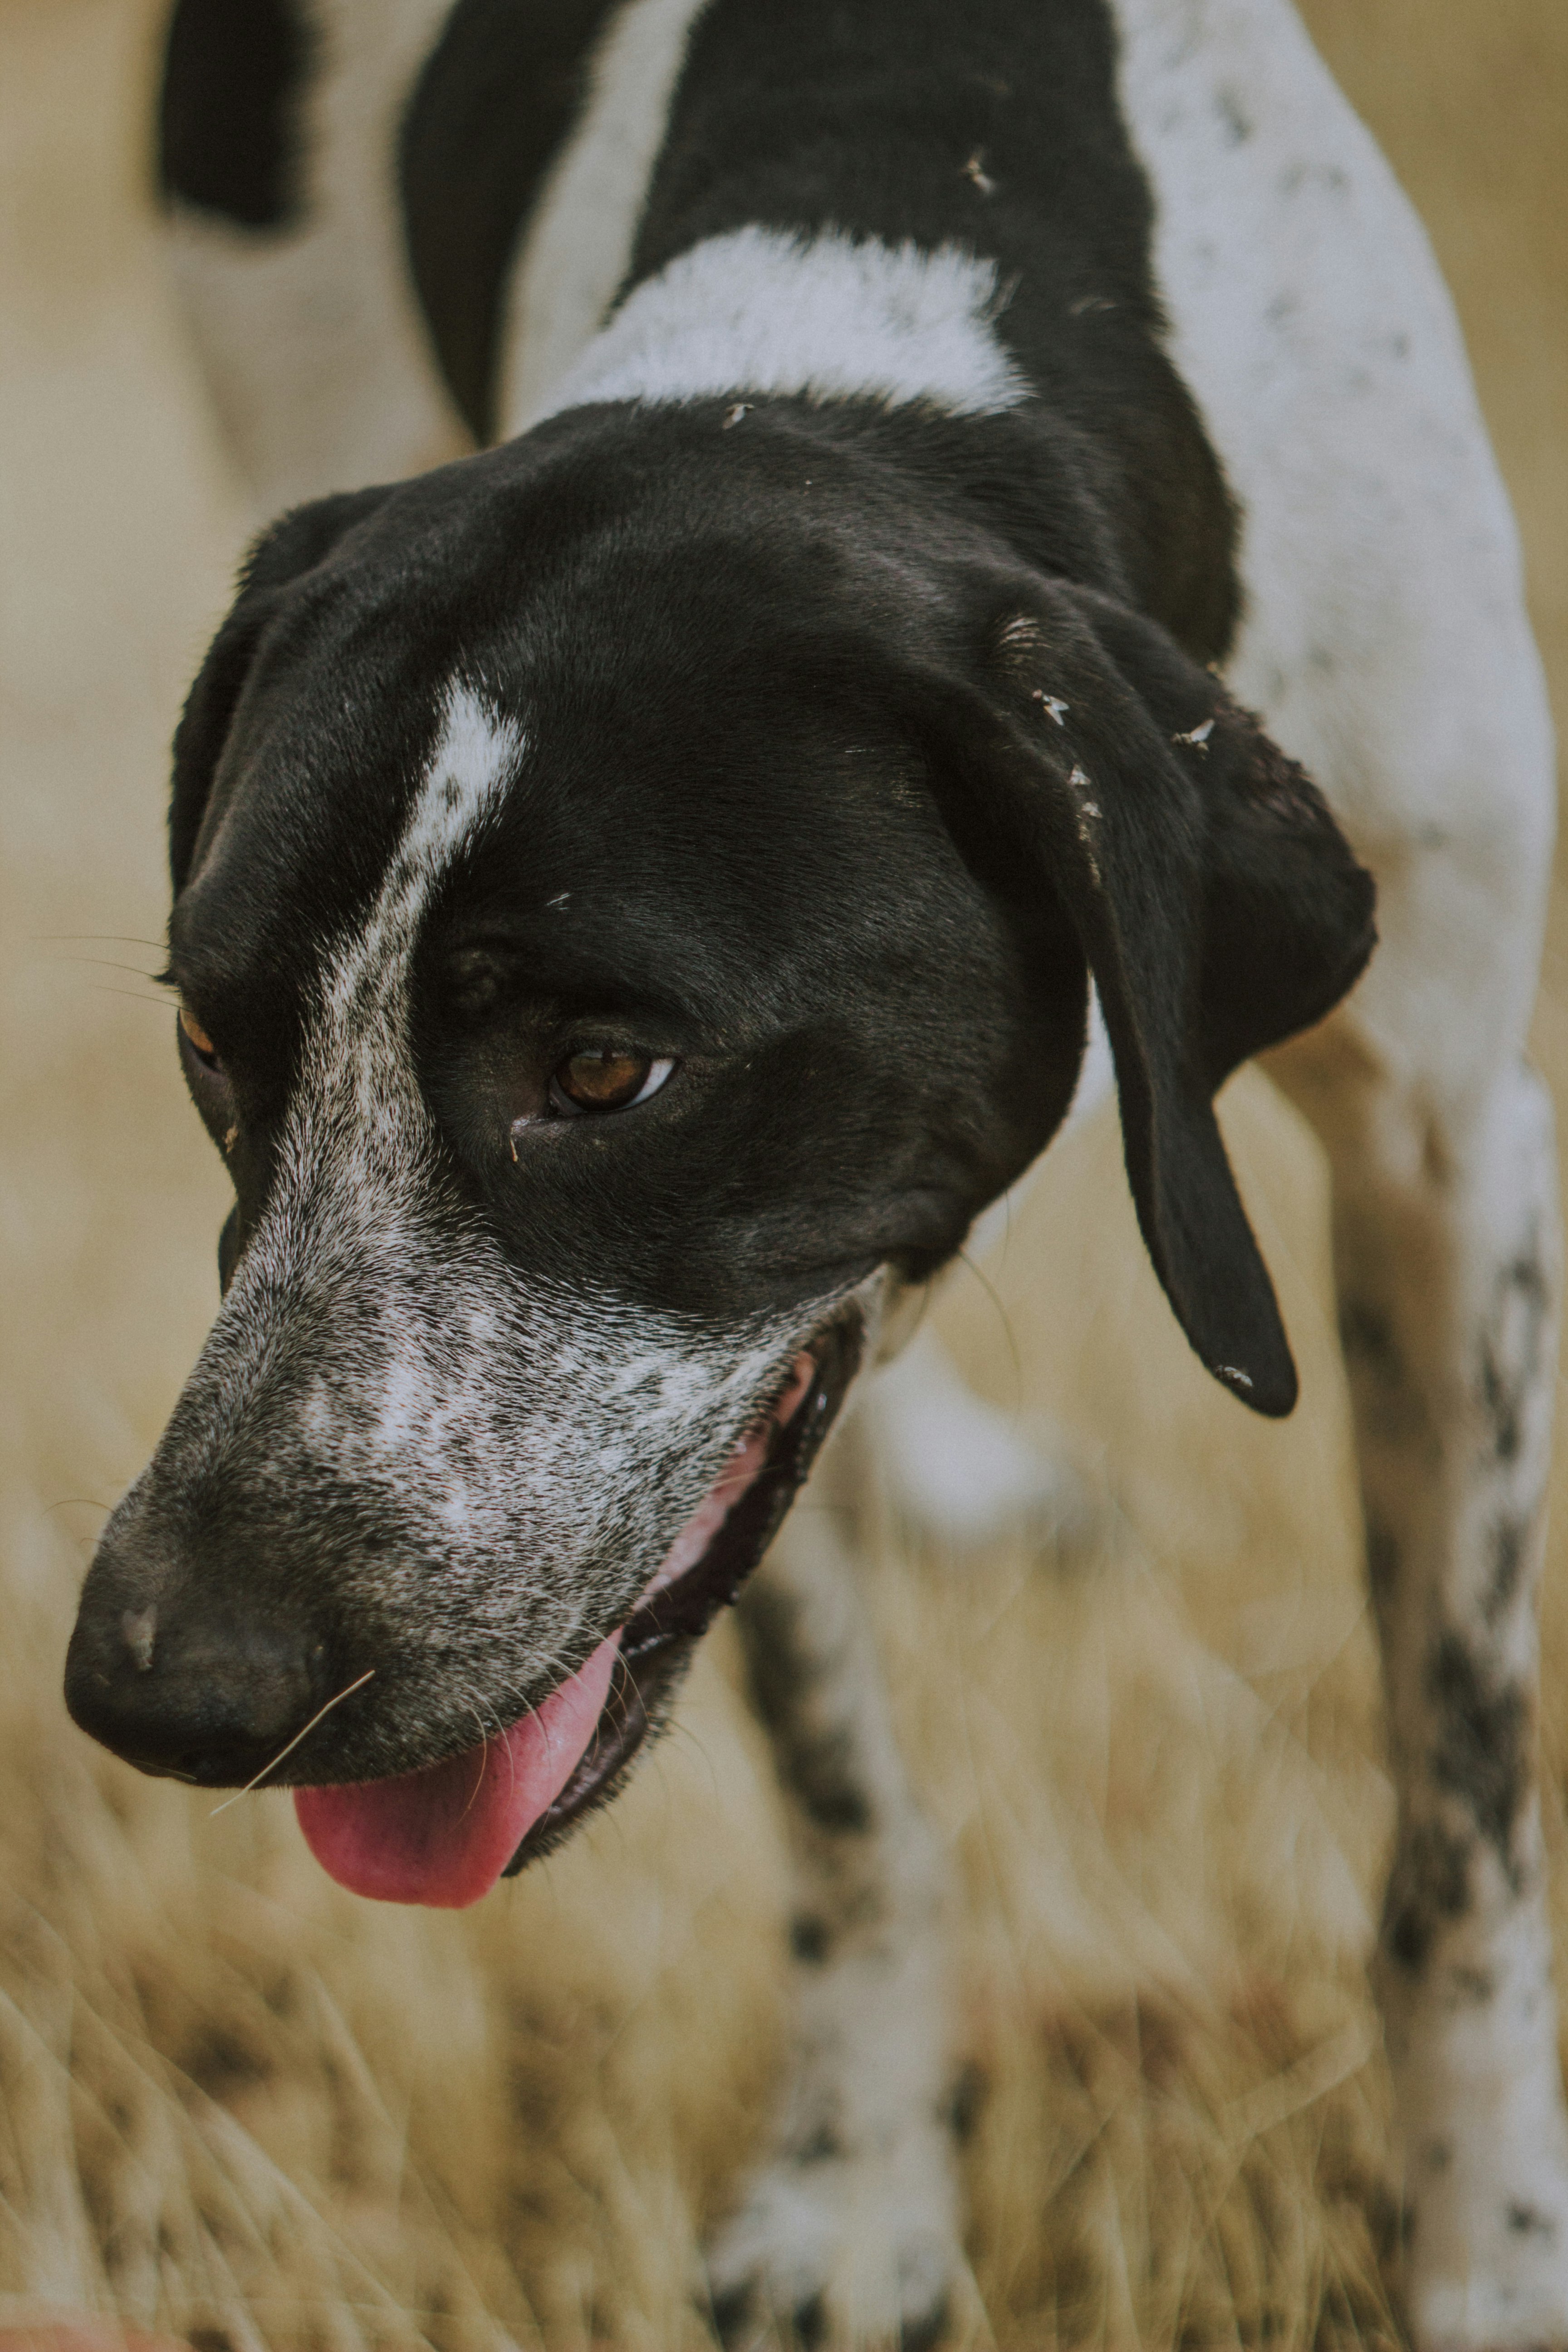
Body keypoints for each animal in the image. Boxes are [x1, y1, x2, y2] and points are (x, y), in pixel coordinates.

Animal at [61, 5, 1568, 2352]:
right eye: (217, 1048)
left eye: (610, 1069)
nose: (159, 1689)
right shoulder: (727, 1441)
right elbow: (848, 1795)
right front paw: (863, 2187)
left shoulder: (1450, 1156)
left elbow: (1461, 1824)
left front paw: (1487, 2253)